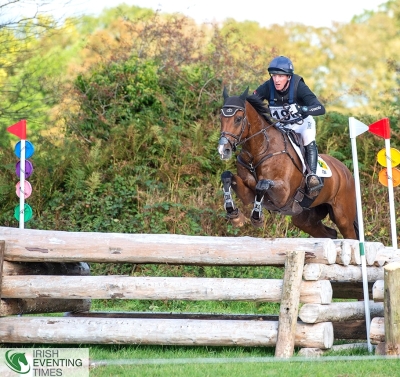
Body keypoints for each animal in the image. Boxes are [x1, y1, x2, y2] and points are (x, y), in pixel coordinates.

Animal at [219, 87, 360, 239]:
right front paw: (235, 216)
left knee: (350, 236)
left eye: (238, 119)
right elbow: (227, 176)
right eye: (221, 118)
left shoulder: (283, 194)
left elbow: (262, 185)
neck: (259, 150)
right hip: (305, 217)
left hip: (343, 217)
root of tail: (345, 171)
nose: (223, 149)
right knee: (330, 233)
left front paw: (257, 218)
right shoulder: (247, 193)